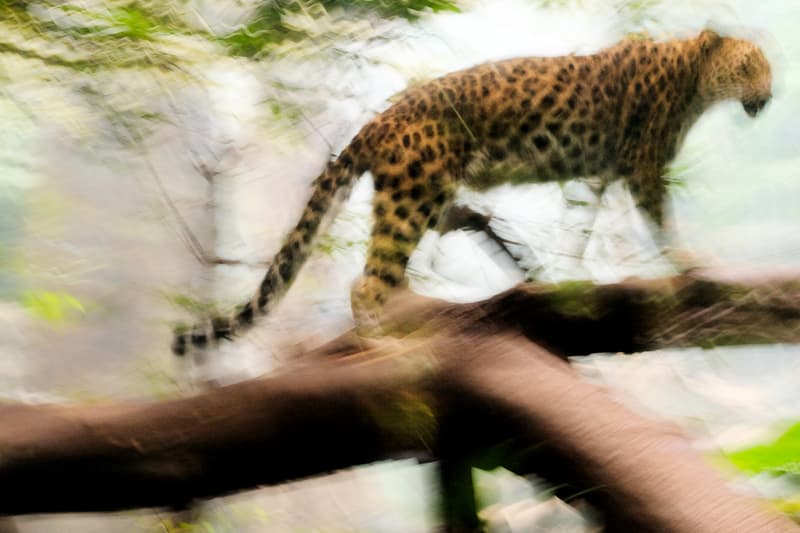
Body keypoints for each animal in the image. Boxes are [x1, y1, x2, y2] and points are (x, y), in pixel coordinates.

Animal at [172, 28, 772, 354]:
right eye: (748, 66)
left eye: (768, 71)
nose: (766, 98)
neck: (692, 78)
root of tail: (378, 122)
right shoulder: (642, 166)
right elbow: (661, 222)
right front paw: (692, 264)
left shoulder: (602, 173)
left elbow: (583, 223)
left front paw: (564, 274)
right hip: (411, 197)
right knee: (367, 283)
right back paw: (383, 346)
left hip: (417, 196)